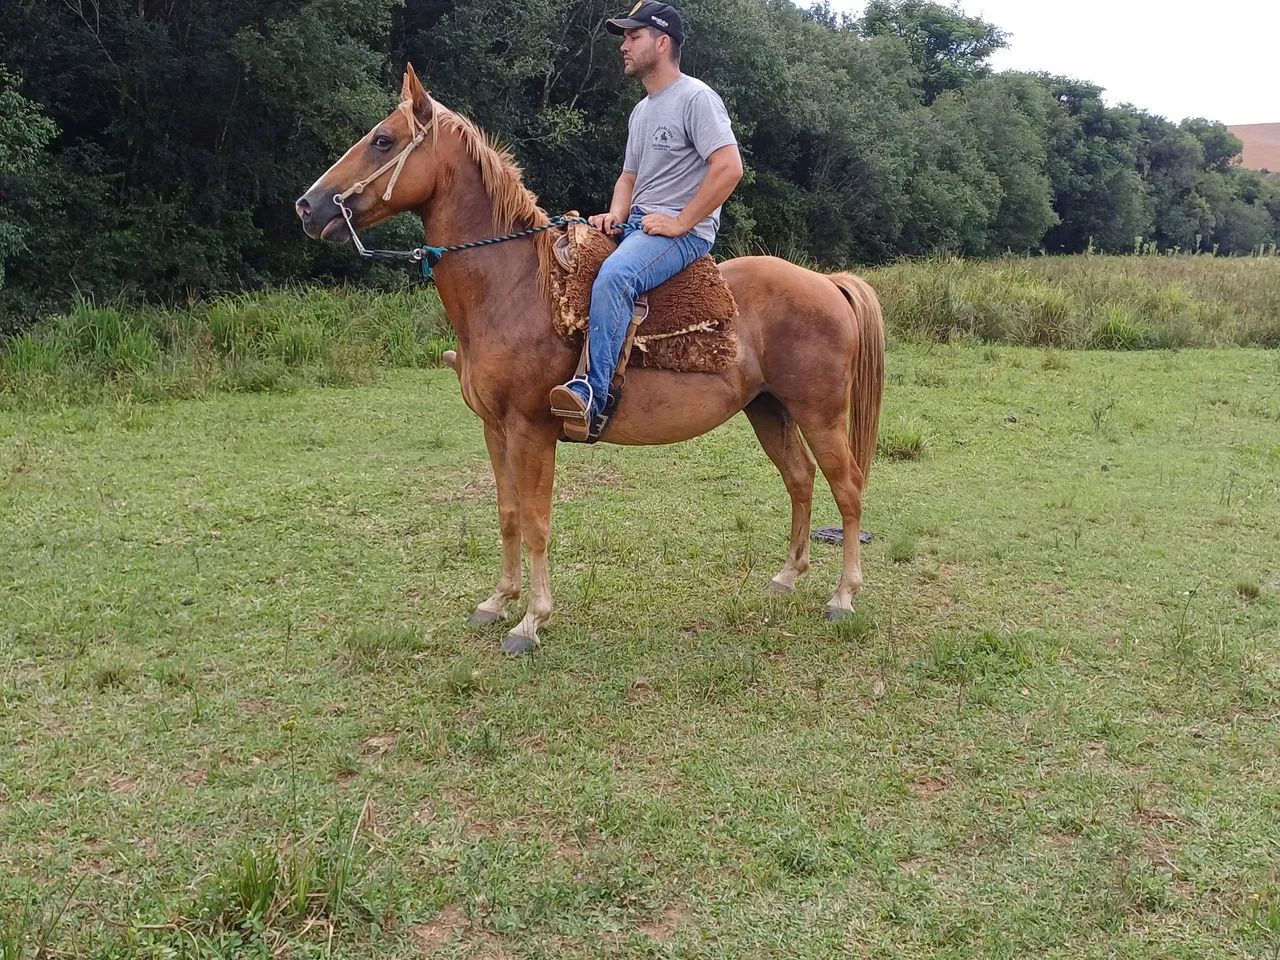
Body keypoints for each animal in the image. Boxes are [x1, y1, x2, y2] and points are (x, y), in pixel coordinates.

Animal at [296, 65, 885, 655]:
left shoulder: (531, 428)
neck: (513, 288)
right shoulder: (494, 428)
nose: (308, 206)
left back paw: (843, 597)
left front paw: (531, 621)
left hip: (819, 413)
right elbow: (508, 514)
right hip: (768, 409)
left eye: (382, 140)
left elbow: (536, 521)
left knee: (848, 488)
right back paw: (786, 577)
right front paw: (497, 601)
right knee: (801, 480)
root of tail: (828, 282)